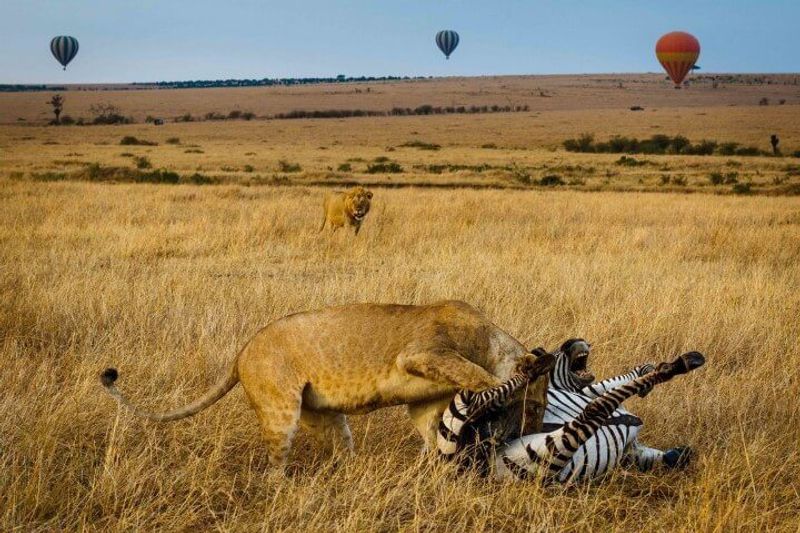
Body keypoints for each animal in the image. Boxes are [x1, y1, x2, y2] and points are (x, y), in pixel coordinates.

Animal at [100, 300, 549, 467]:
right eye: (536, 407)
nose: (527, 432)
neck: (491, 338)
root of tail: (242, 351)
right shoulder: (421, 354)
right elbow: (484, 377)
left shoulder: (422, 403)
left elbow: (429, 426)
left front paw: (435, 463)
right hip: (280, 411)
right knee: (275, 464)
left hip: (325, 416)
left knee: (340, 450)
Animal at [437, 345, 704, 483]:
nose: (572, 342)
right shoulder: (585, 391)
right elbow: (611, 386)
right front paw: (658, 369)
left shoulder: (632, 452)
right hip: (548, 456)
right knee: (595, 410)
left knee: (477, 406)